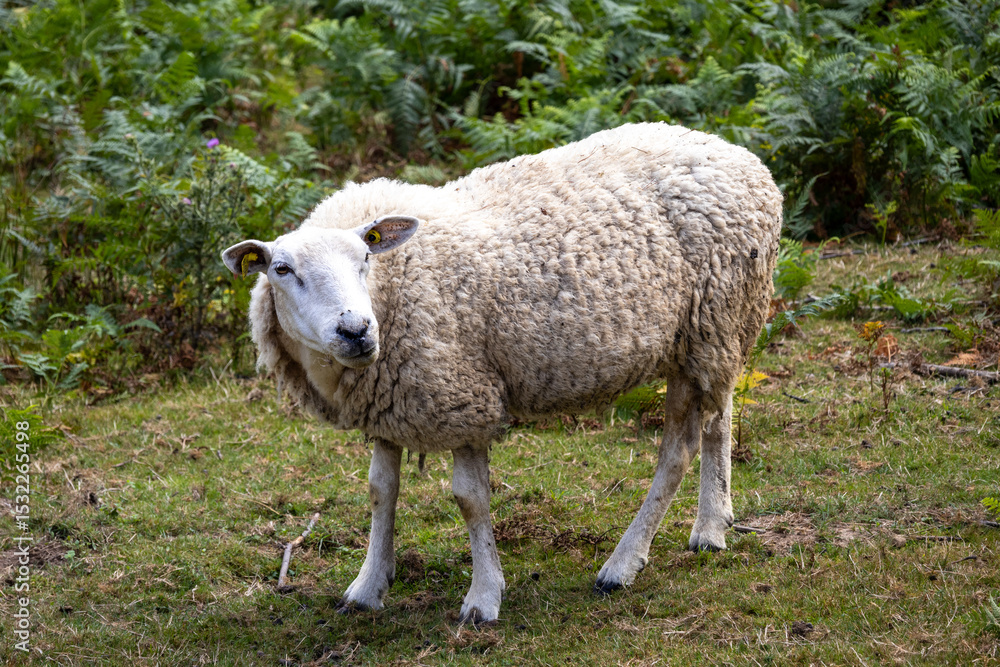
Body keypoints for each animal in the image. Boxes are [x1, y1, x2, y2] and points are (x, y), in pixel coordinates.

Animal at [221, 122, 782, 624]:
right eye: (281, 269)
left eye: (365, 256)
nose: (356, 330)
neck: (393, 286)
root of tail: (739, 154)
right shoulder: (391, 403)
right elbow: (382, 491)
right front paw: (367, 587)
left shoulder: (463, 395)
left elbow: (470, 500)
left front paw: (483, 597)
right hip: (712, 335)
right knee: (719, 418)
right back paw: (713, 524)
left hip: (713, 322)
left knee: (680, 447)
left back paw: (627, 562)